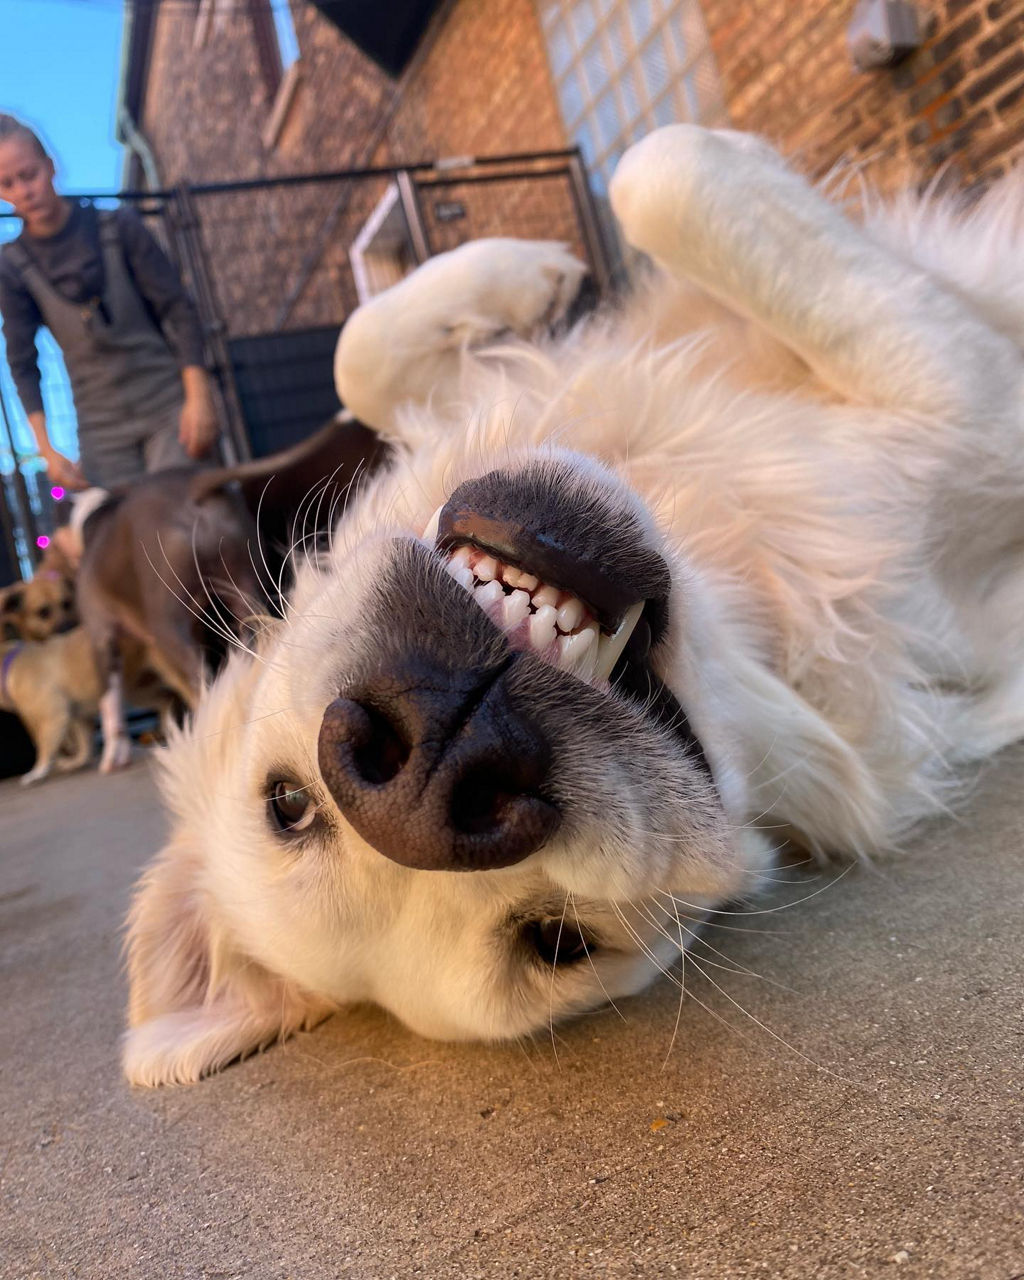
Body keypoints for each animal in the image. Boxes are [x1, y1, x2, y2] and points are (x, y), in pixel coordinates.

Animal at [122, 129, 1024, 1085]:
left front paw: (533, 275)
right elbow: (666, 175)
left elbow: (364, 351)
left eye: (285, 805)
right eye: (560, 942)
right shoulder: (970, 414)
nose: (424, 782)